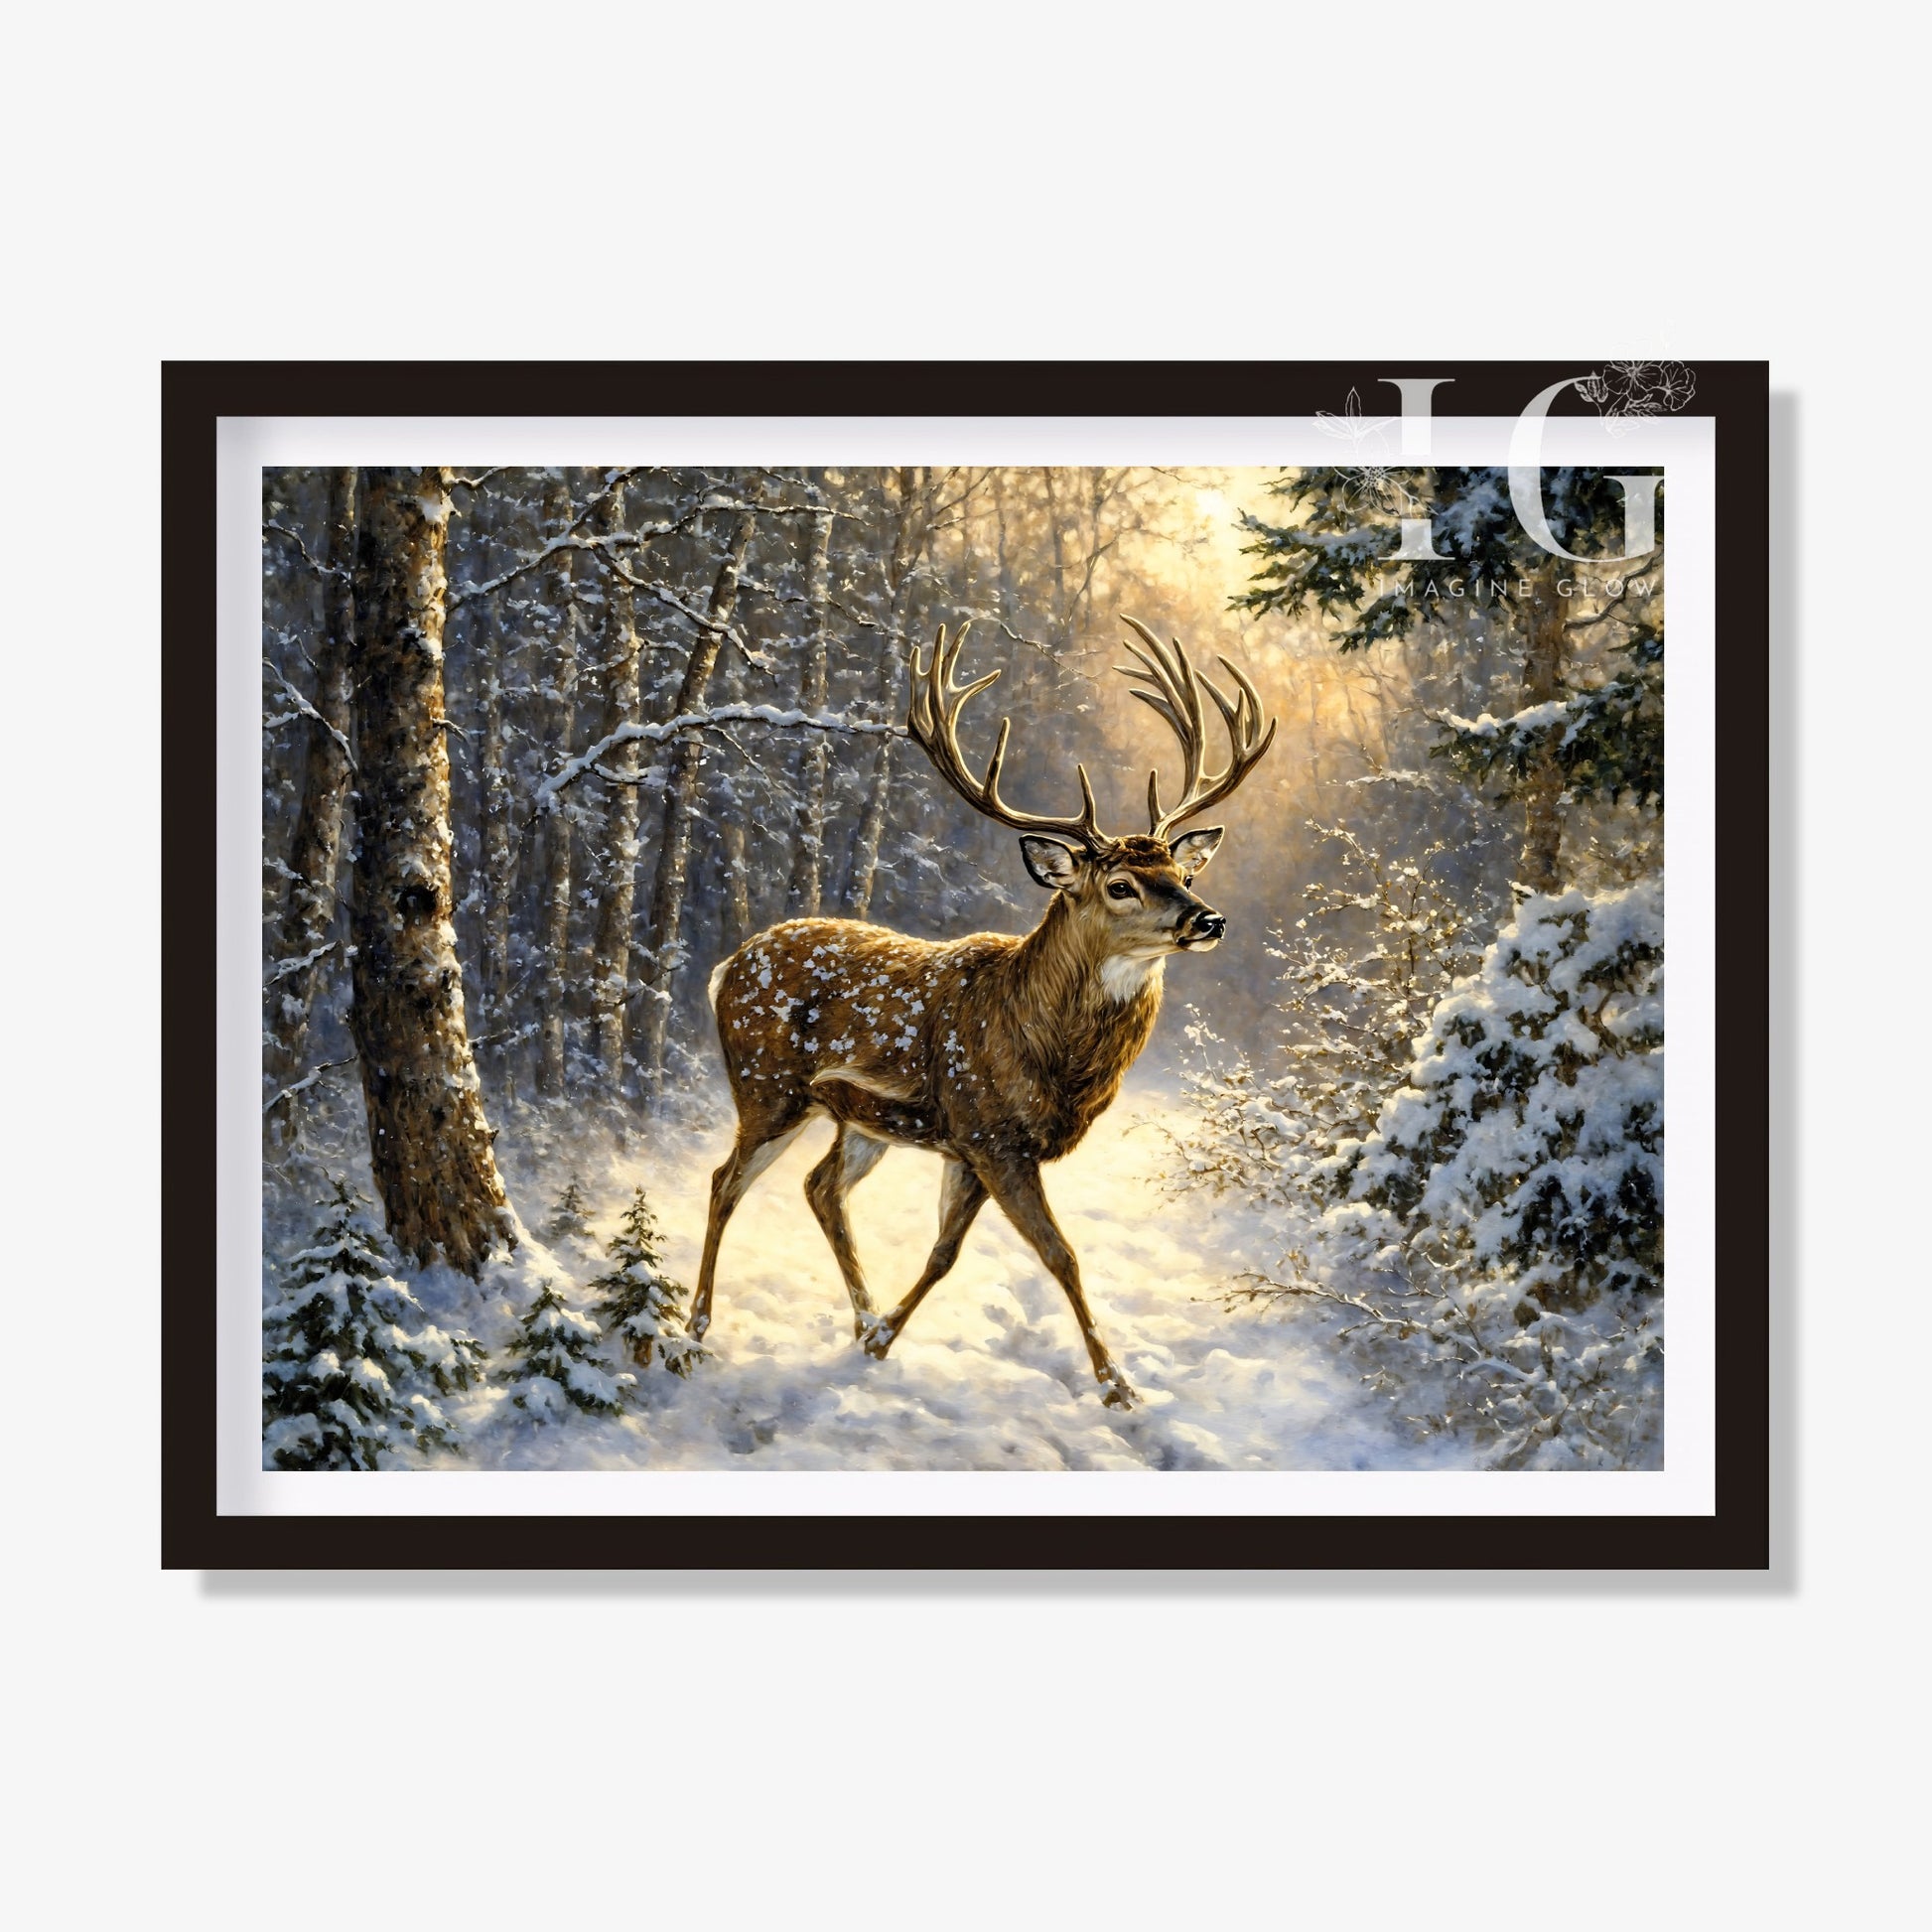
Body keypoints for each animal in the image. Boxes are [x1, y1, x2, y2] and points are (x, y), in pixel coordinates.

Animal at [692, 616, 1276, 1408]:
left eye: (1180, 872)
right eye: (1121, 884)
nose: (1208, 919)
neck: (1046, 1046)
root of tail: (727, 964)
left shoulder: (964, 1144)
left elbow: (945, 1252)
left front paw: (881, 1339)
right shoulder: (992, 1134)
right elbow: (1061, 1255)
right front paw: (1117, 1385)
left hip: (857, 1118)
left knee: (819, 1188)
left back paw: (858, 1319)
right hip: (766, 1086)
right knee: (726, 1181)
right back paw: (694, 1329)